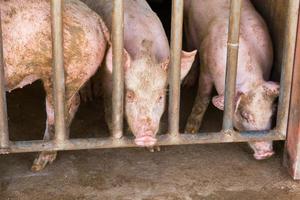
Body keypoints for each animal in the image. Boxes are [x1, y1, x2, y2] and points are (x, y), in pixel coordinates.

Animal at [80, 0, 197, 147]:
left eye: (160, 97)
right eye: (129, 95)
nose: (147, 135)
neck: (145, 51)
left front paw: (154, 148)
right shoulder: (108, 83)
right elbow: (110, 111)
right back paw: (88, 97)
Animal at [184, 0, 280, 159]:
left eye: (271, 115)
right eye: (244, 115)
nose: (267, 153)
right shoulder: (207, 69)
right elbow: (203, 98)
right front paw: (189, 131)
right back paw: (187, 84)